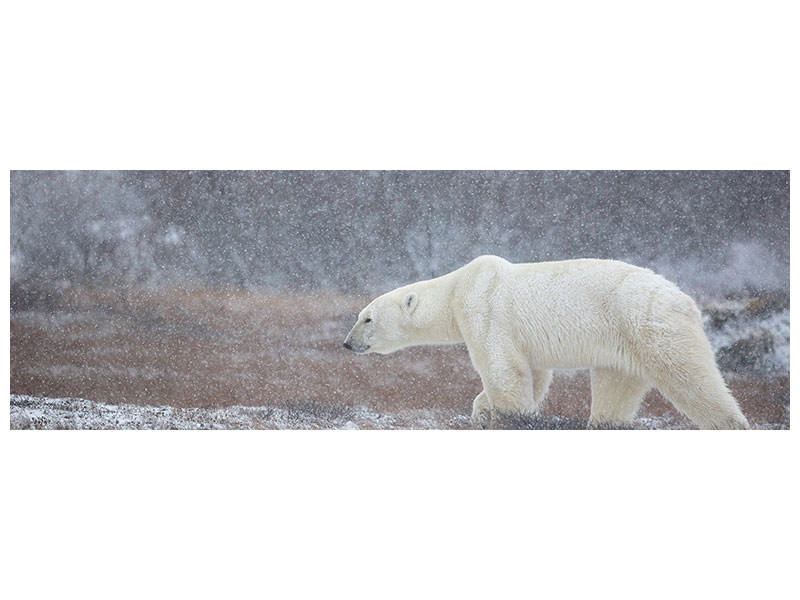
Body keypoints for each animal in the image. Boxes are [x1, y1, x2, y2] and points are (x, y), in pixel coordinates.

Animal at [344, 255, 752, 428]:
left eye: (367, 317)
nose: (348, 344)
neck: (458, 287)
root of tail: (686, 300)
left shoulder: (485, 309)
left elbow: (504, 370)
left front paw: (509, 417)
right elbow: (533, 374)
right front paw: (480, 411)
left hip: (649, 324)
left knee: (692, 379)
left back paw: (730, 423)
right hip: (622, 343)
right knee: (615, 387)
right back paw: (603, 424)